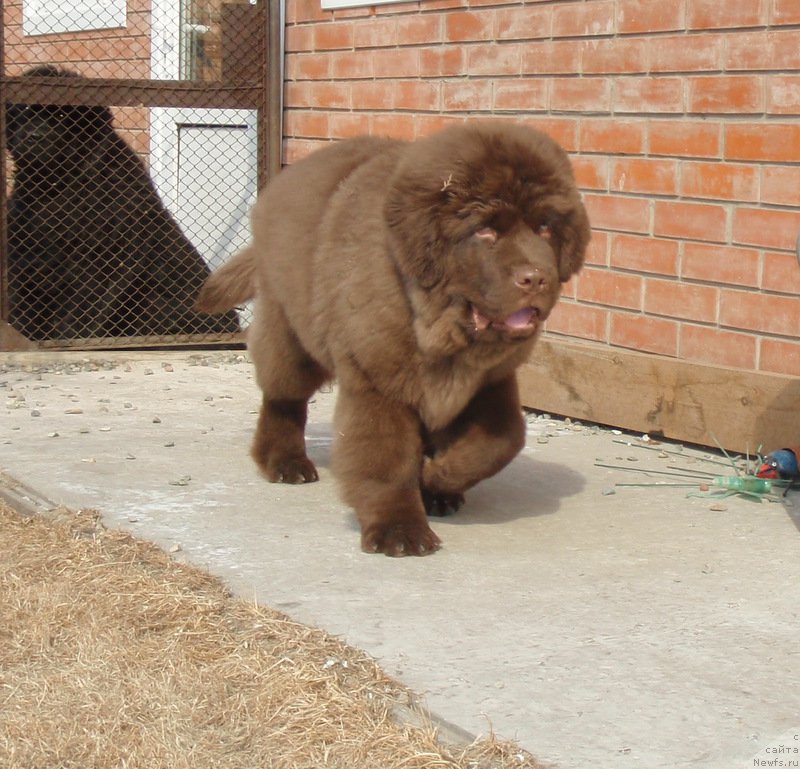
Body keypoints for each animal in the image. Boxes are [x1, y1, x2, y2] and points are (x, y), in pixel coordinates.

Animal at [4, 64, 239, 340]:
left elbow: (84, 309)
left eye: (62, 115)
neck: (57, 185)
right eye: (25, 111)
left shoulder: (106, 255)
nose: (35, 136)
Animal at [197, 120, 592, 556]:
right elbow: (385, 460)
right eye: (485, 231)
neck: (437, 330)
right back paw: (284, 463)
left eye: (545, 227)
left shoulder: (489, 381)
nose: (537, 279)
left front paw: (436, 480)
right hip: (291, 329)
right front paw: (399, 530)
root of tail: (281, 182)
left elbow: (501, 440)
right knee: (283, 396)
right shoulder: (378, 381)